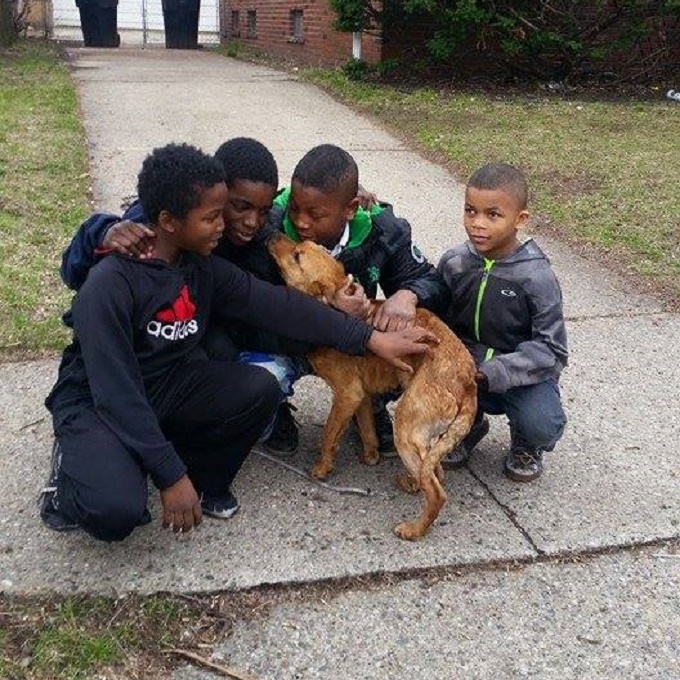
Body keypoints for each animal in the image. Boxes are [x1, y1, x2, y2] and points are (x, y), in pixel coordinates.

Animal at [266, 231, 478, 540]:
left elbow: (328, 435)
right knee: (433, 471)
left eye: (297, 256)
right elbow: (368, 432)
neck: (334, 310)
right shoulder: (362, 397)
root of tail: (468, 380)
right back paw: (412, 482)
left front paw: (322, 469)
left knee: (437, 491)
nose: (270, 233)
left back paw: (414, 529)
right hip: (424, 435)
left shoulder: (347, 394)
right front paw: (371, 457)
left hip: (407, 426)